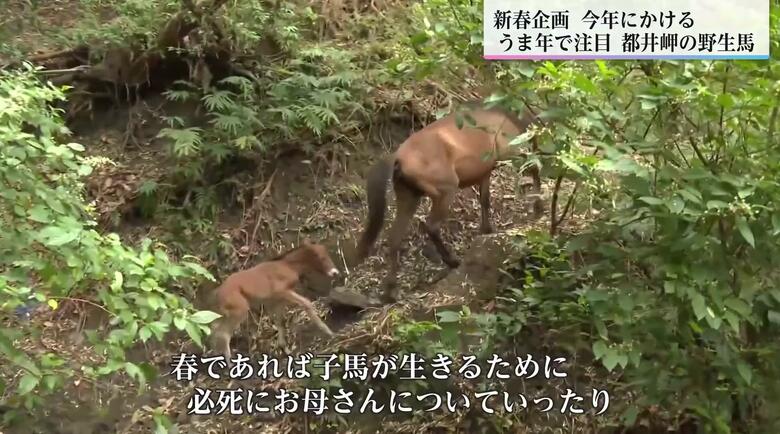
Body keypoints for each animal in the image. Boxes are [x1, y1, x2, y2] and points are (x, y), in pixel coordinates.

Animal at [209, 240, 339, 361]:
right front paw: (328, 331)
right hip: (240, 311)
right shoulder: (282, 292)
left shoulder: (275, 301)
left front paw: (285, 349)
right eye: (321, 257)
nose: (335, 272)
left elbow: (280, 322)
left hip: (226, 313)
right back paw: (229, 362)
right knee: (223, 333)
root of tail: (217, 293)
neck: (288, 267)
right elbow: (306, 303)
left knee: (214, 327)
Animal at [353, 103, 543, 303]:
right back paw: (452, 261)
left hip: (409, 197)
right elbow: (534, 167)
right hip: (446, 190)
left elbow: (484, 199)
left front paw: (487, 230)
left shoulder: (484, 172)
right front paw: (539, 207)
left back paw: (390, 292)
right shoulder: (511, 152)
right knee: (431, 226)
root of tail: (397, 159)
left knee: (395, 237)